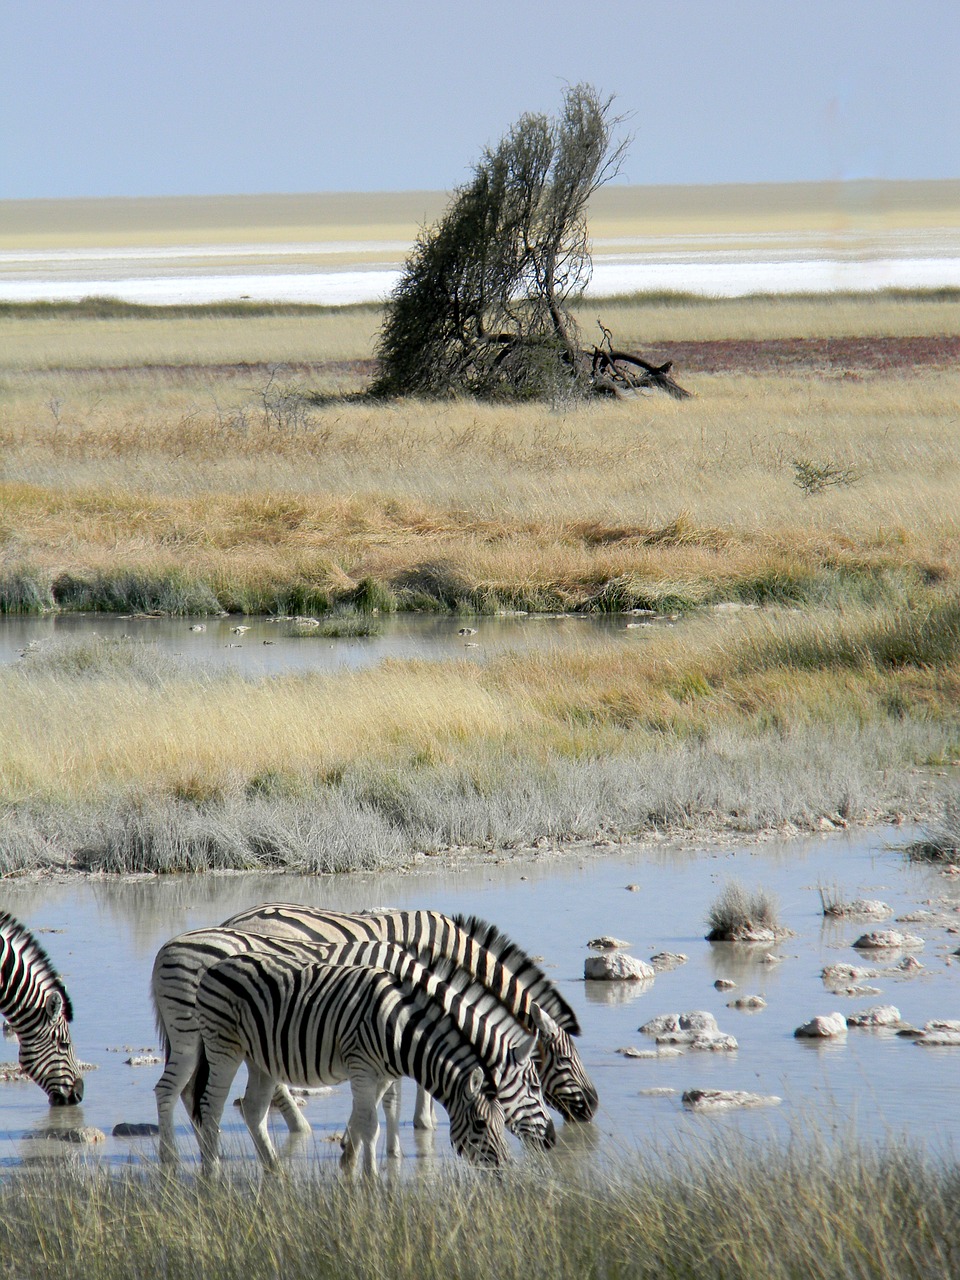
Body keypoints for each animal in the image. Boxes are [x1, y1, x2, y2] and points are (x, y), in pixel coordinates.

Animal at [152, 931, 555, 1162]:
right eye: (536, 1085)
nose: (552, 1140)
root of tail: (166, 947)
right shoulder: (370, 1059)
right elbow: (383, 1108)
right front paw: (385, 1156)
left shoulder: (380, 1065)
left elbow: (371, 1112)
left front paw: (353, 1154)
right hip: (195, 1037)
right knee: (179, 1093)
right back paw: (181, 1161)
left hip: (244, 1050)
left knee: (217, 1101)